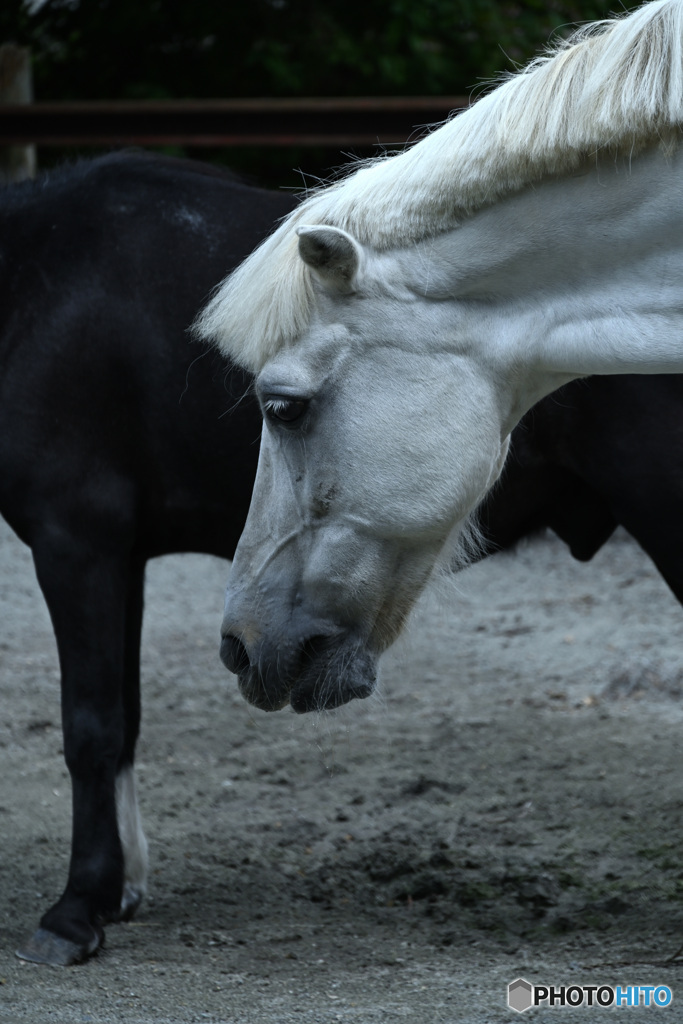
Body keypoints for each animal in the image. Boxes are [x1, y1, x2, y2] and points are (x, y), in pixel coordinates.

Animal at [1, 148, 683, 962]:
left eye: (283, 407)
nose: (244, 646)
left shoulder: (77, 541)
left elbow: (92, 727)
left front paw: (77, 907)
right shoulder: (118, 556)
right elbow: (124, 719)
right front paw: (121, 890)